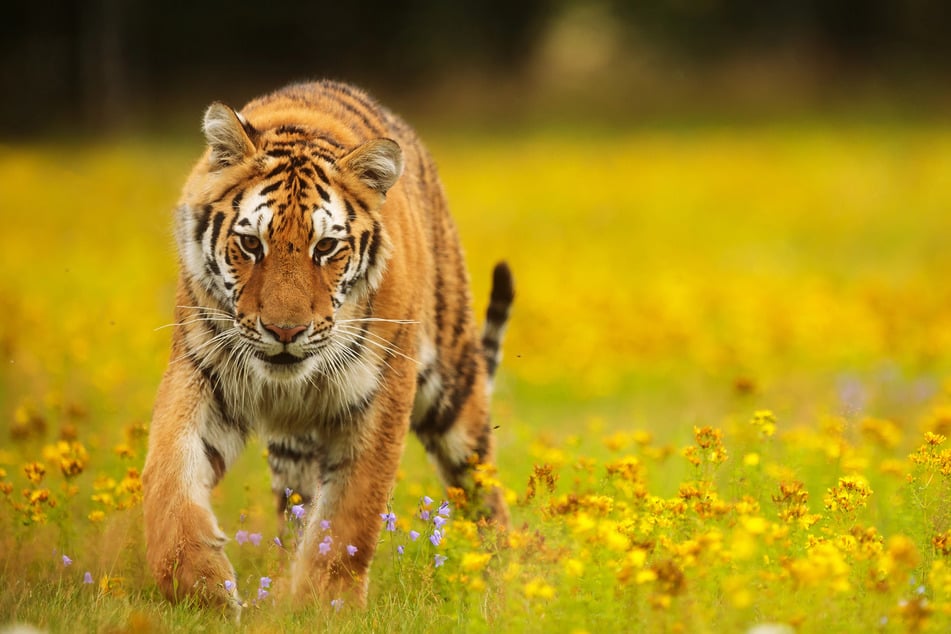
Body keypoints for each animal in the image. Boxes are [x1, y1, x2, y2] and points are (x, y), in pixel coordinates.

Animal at [141, 80, 513, 611]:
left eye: (326, 248)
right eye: (251, 244)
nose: (285, 331)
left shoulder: (381, 393)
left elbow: (351, 512)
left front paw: (323, 604)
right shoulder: (203, 369)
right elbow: (169, 474)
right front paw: (200, 586)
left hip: (453, 393)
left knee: (485, 494)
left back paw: (505, 584)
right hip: (294, 451)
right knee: (296, 509)